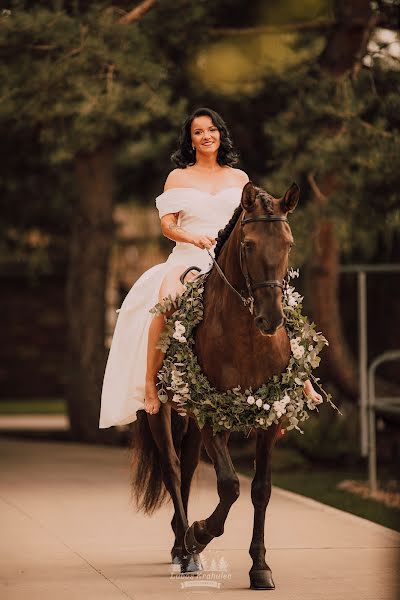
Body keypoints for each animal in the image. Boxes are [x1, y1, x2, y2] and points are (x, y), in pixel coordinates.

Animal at [130, 182, 298, 592]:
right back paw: (187, 548)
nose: (271, 318)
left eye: (288, 242)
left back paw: (181, 548)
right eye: (249, 244)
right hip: (162, 413)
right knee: (173, 470)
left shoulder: (269, 418)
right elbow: (229, 485)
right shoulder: (212, 418)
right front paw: (201, 532)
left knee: (189, 469)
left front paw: (260, 567)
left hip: (190, 420)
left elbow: (260, 489)